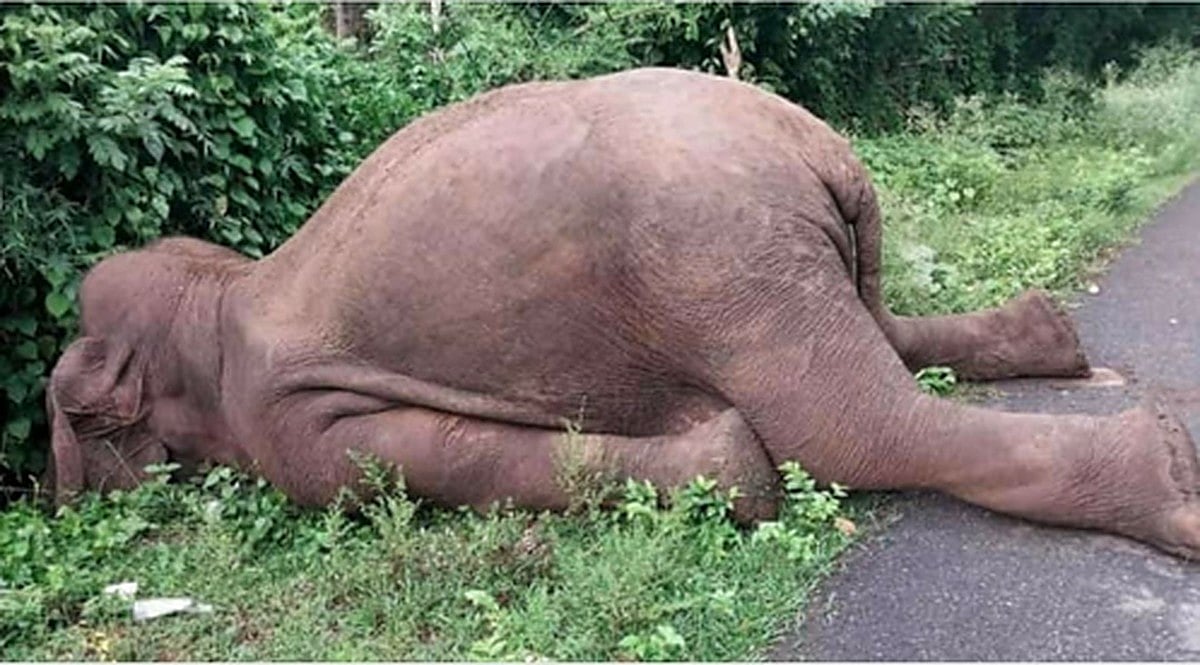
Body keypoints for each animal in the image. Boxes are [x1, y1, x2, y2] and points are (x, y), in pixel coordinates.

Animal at [45, 67, 1200, 559]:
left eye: (76, 425)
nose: (55, 499)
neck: (224, 294)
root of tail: (821, 150)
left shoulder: (288, 425)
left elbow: (368, 466)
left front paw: (730, 467)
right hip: (772, 257)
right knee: (880, 338)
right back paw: (1051, 337)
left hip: (721, 257)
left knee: (851, 427)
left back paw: (1166, 478)